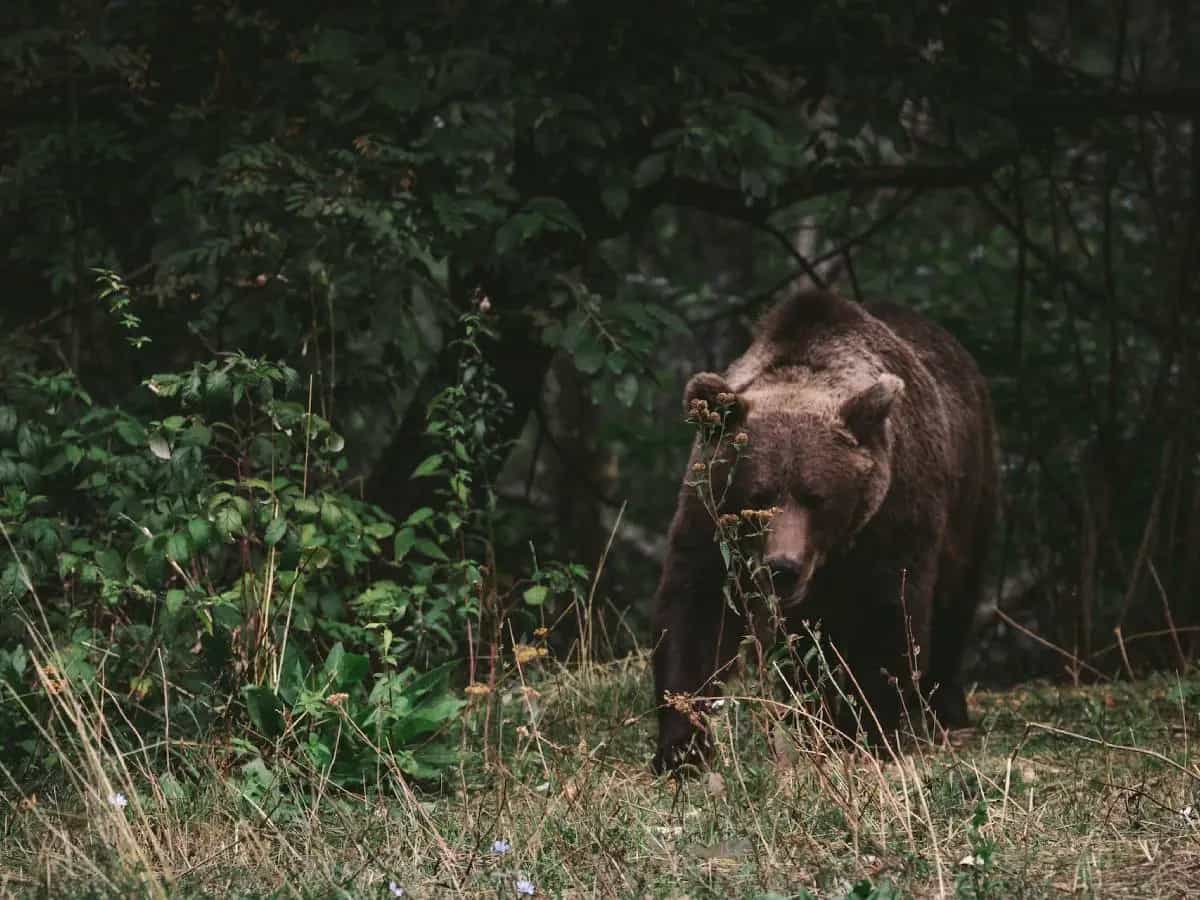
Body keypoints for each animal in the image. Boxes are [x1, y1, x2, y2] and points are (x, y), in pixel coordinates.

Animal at [651, 289, 998, 773]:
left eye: (816, 496)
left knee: (954, 602)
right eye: (758, 495)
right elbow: (694, 611)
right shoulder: (709, 516)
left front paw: (866, 731)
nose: (783, 567)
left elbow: (889, 616)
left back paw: (944, 711)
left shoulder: (895, 518)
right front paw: (683, 746)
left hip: (971, 491)